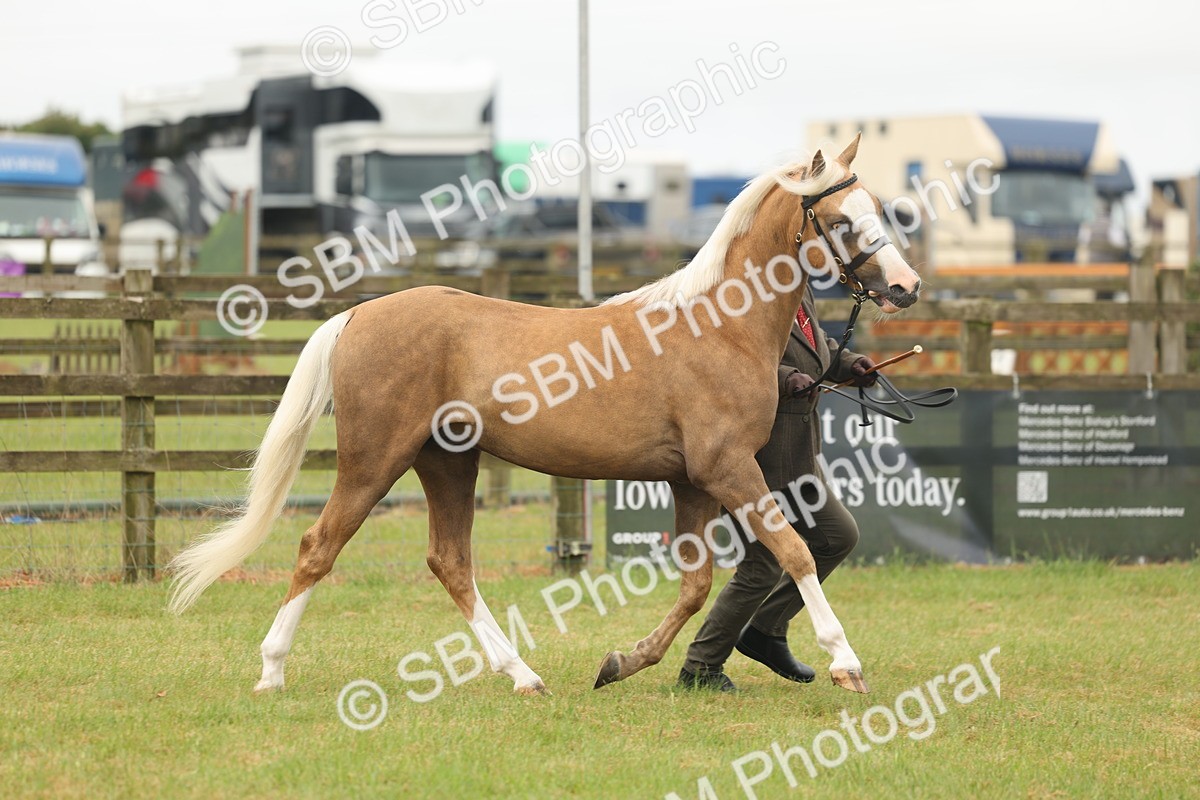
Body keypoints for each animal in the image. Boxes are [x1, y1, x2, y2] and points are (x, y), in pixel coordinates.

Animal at [167, 134, 921, 697]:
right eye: (844, 219)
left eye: (879, 207)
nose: (907, 287)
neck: (717, 326)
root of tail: (356, 315)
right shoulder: (728, 470)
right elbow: (793, 552)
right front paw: (845, 662)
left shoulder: (690, 482)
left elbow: (695, 585)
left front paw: (621, 662)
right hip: (373, 461)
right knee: (317, 548)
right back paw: (271, 672)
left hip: (447, 463)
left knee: (451, 563)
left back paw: (522, 674)